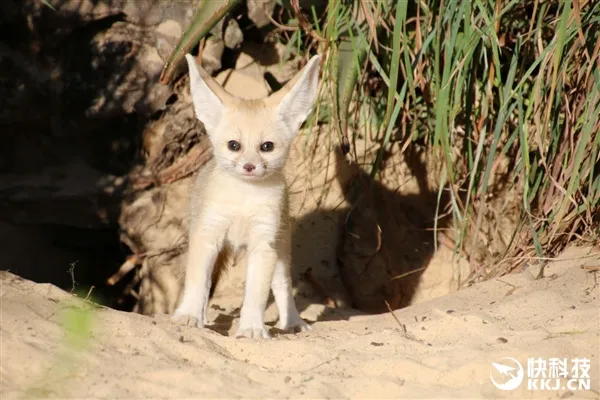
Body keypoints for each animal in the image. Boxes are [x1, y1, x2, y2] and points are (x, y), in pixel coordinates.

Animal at [172, 52, 324, 338]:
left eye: (267, 147)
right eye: (234, 145)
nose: (250, 167)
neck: (244, 200)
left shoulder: (263, 244)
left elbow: (257, 295)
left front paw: (252, 328)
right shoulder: (208, 235)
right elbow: (198, 283)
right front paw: (188, 316)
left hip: (280, 251)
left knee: (283, 287)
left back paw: (293, 322)